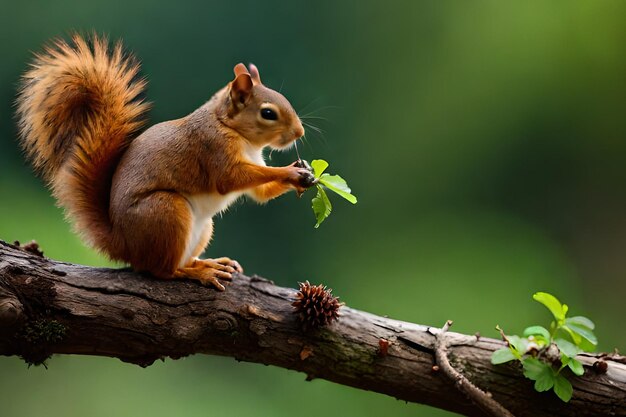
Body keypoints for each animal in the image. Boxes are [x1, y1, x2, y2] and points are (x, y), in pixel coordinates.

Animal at [16, 34, 314, 290]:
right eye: (268, 113)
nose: (300, 133)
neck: (229, 127)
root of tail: (124, 244)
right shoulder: (214, 149)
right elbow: (230, 178)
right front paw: (290, 173)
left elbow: (260, 193)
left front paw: (304, 174)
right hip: (167, 211)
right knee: (163, 271)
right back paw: (199, 272)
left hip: (202, 227)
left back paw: (208, 262)